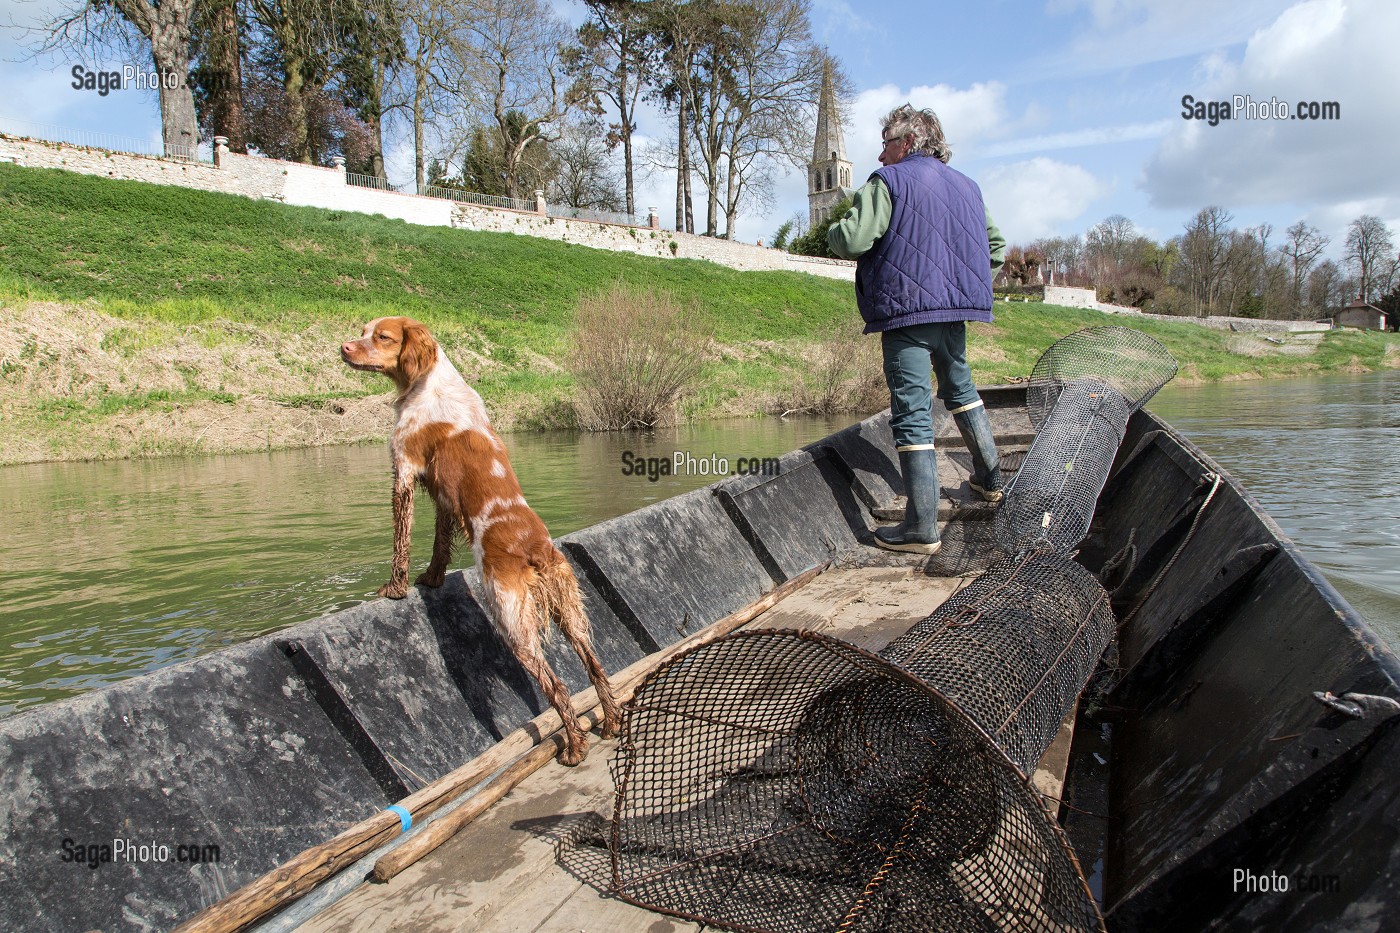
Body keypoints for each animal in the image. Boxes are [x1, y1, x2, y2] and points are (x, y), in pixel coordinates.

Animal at [338, 316, 618, 762]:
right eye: (363, 330)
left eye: (382, 336)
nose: (344, 348)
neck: (429, 383)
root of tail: (535, 550)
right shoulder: (444, 499)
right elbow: (439, 544)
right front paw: (431, 579)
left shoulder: (404, 471)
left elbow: (401, 541)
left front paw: (395, 588)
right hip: (570, 613)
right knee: (596, 668)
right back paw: (609, 724)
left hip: (512, 622)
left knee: (557, 686)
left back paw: (575, 746)